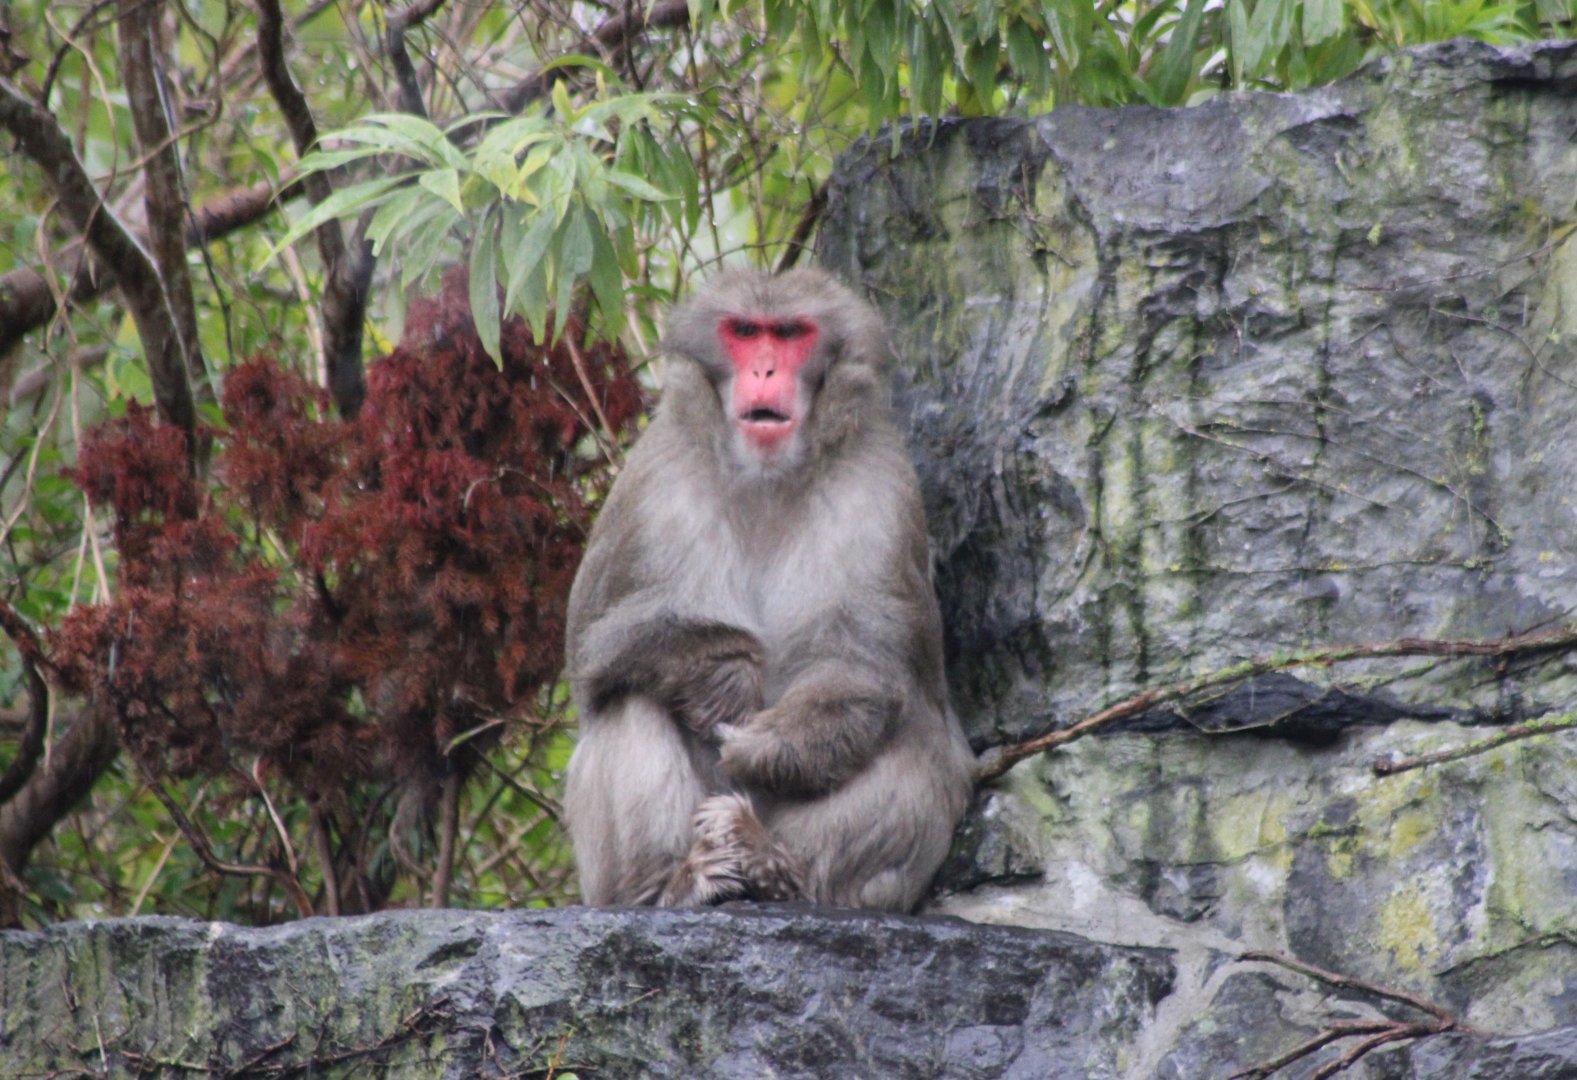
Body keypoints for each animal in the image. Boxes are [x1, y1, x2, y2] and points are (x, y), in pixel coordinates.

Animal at [562, 268, 975, 912]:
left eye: (789, 334)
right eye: (744, 332)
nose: (763, 370)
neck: (767, 479)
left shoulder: (883, 487)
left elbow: (868, 665)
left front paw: (766, 745)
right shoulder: (653, 477)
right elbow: (593, 649)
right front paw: (722, 671)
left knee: (917, 744)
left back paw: (781, 870)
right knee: (630, 697)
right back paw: (669, 884)